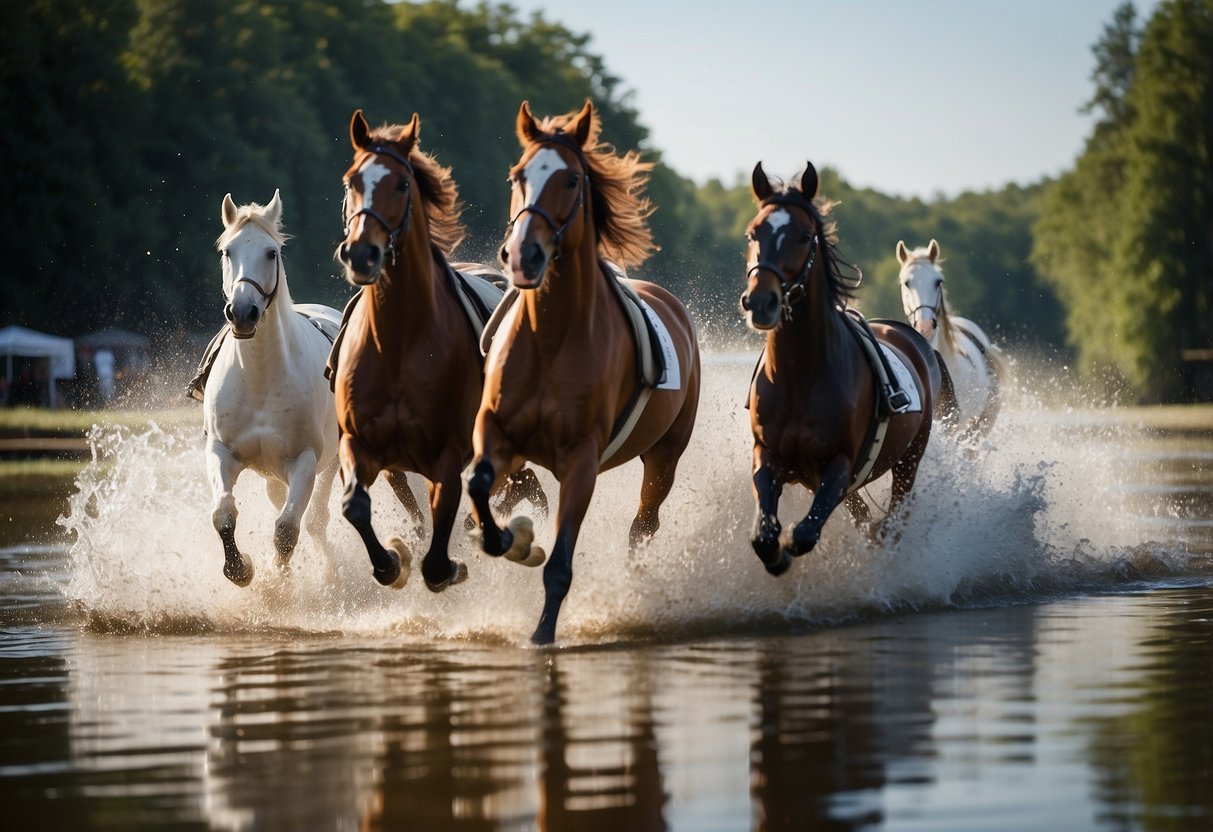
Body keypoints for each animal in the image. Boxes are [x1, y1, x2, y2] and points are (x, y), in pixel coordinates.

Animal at [200, 192, 342, 589]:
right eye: (228, 251)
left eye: (271, 252)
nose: (242, 312)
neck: (261, 379)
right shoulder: (222, 451)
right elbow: (223, 512)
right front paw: (240, 568)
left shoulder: (305, 460)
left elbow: (287, 529)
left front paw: (277, 587)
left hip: (331, 462)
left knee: (315, 520)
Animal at [329, 109, 543, 594]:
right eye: (351, 180)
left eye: (401, 185)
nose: (361, 253)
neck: (397, 342)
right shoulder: (359, 443)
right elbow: (355, 506)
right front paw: (391, 562)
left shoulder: (448, 454)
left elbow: (440, 551)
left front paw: (451, 563)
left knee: (522, 490)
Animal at [468, 101, 708, 650]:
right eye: (518, 175)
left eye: (572, 180)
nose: (524, 254)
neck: (552, 336)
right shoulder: (498, 431)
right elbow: (478, 483)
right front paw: (506, 538)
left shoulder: (581, 458)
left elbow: (560, 563)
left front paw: (542, 633)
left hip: (664, 456)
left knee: (644, 526)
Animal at [737, 163, 946, 579]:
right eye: (753, 232)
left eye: (803, 236)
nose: (761, 301)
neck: (800, 375)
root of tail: (910, 336)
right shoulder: (767, 455)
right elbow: (765, 536)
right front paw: (776, 551)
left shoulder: (839, 466)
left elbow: (803, 534)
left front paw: (790, 547)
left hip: (909, 460)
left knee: (895, 513)